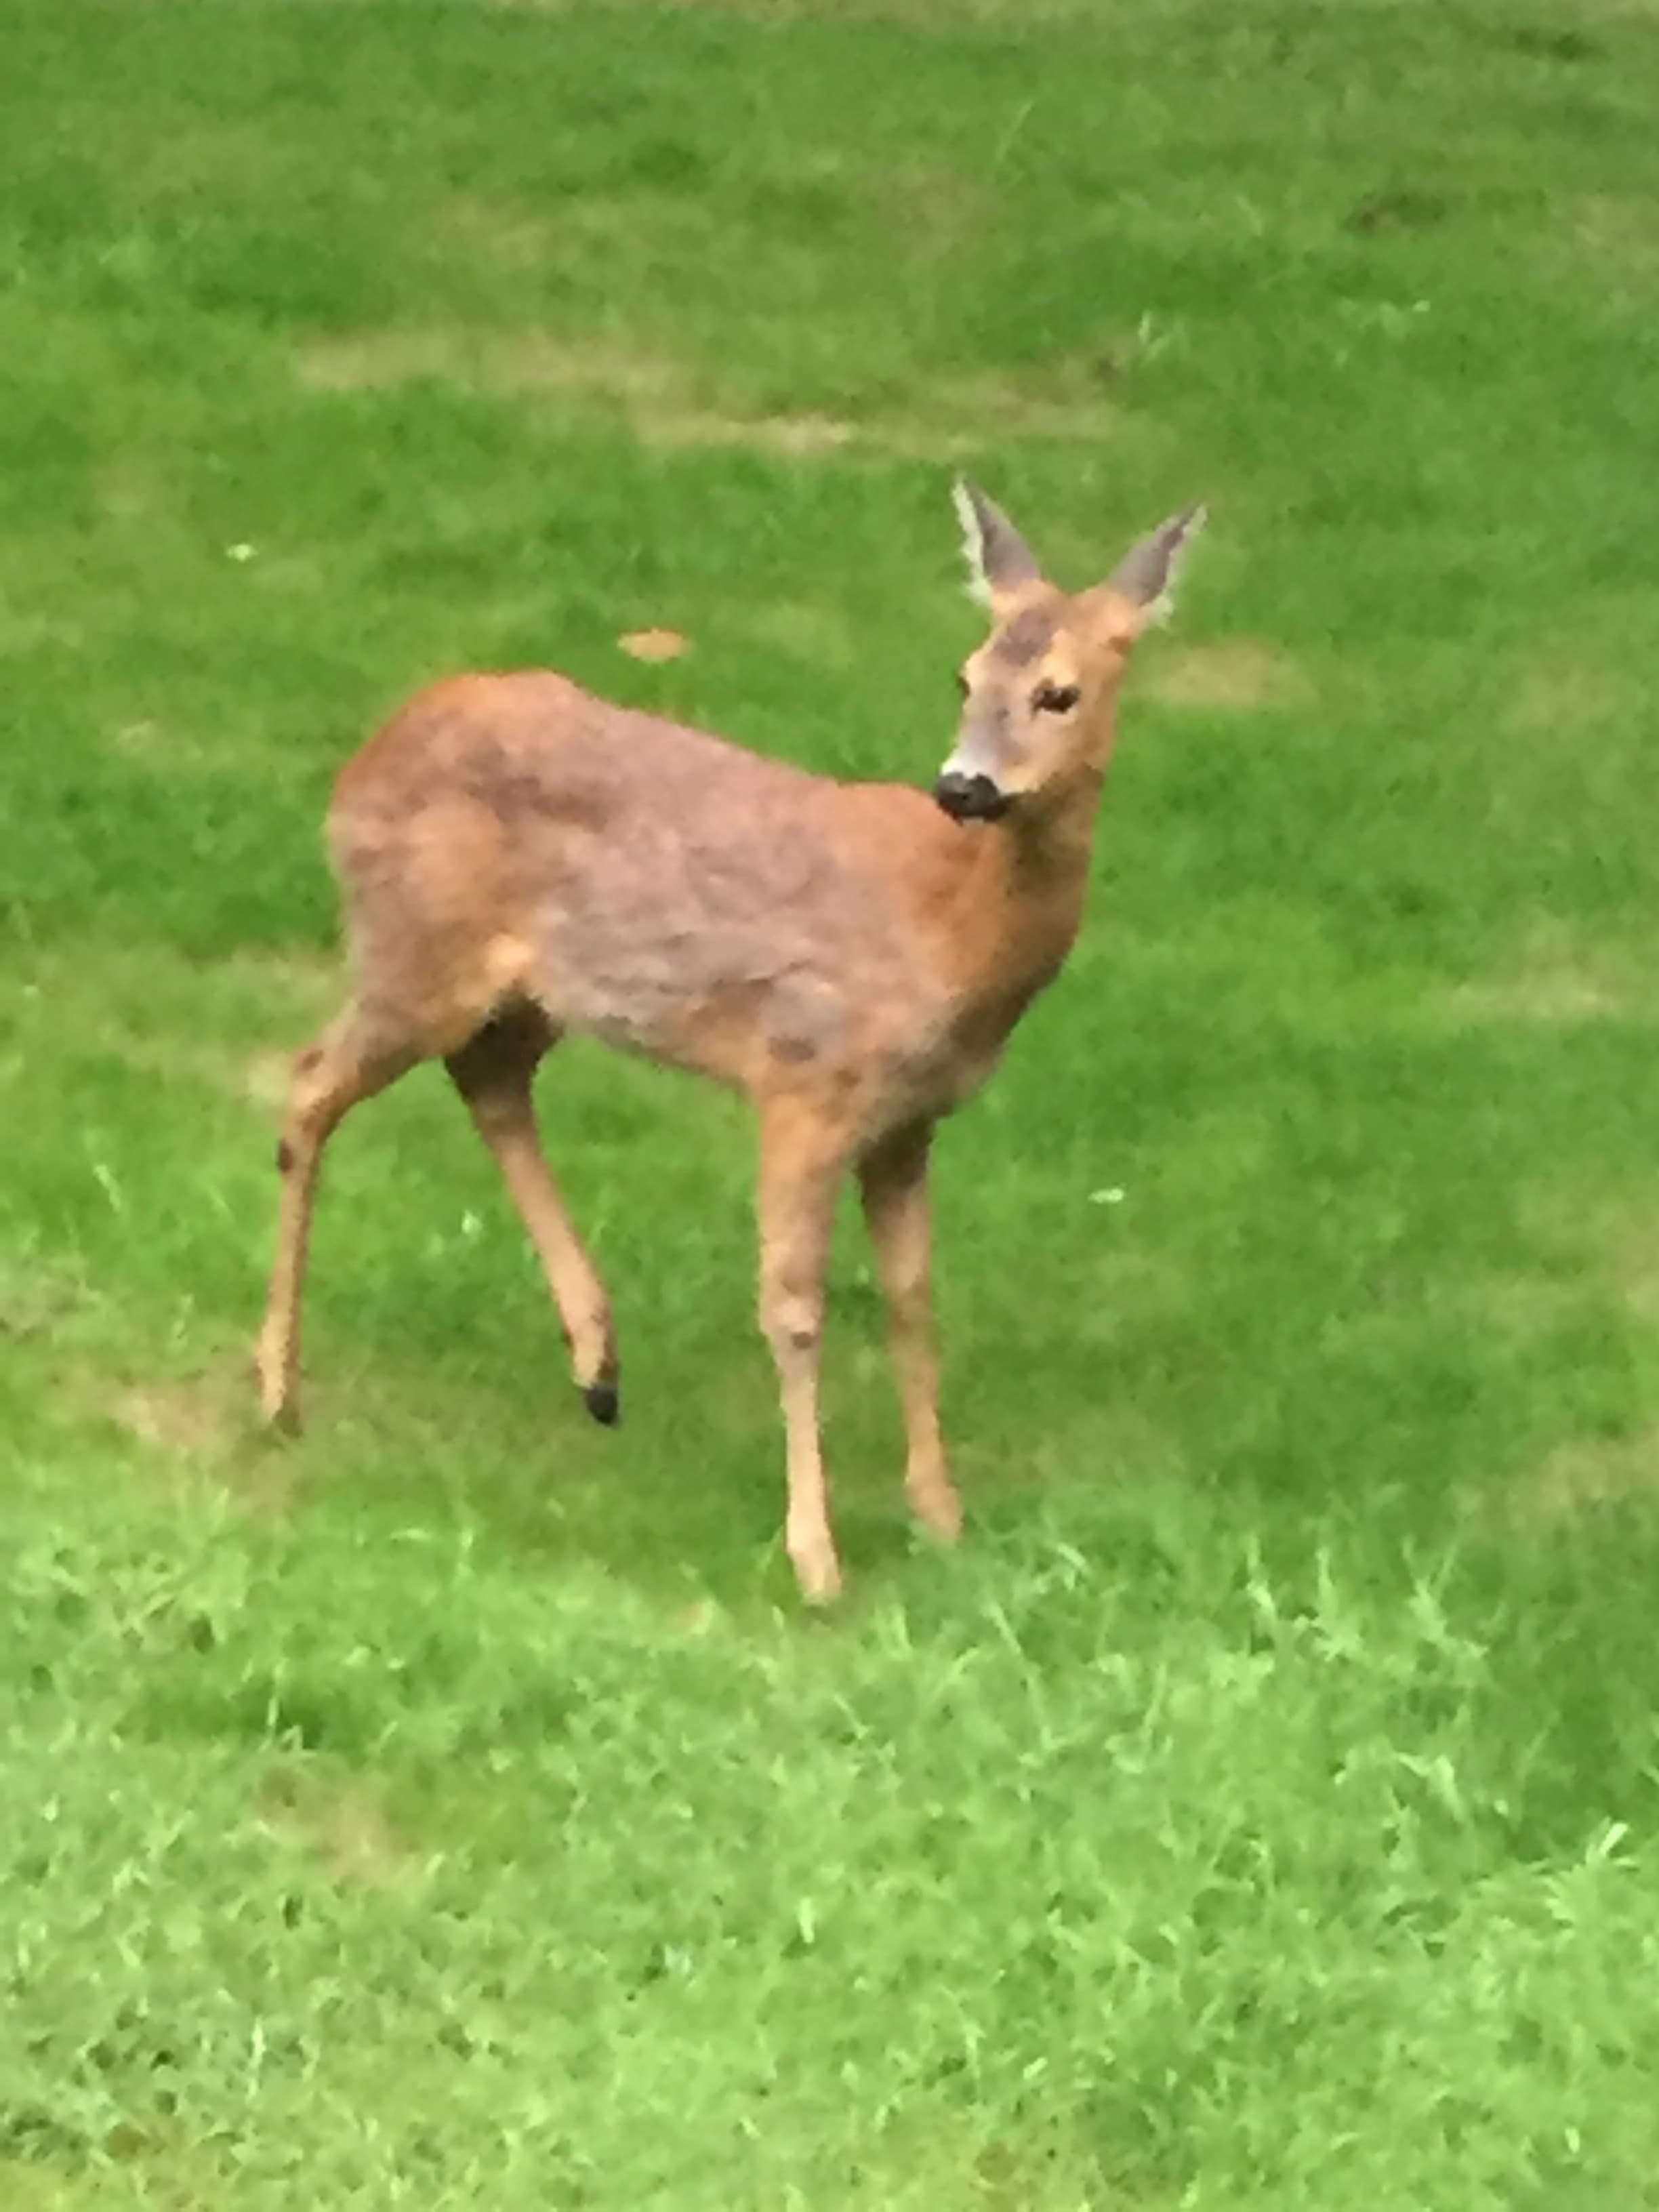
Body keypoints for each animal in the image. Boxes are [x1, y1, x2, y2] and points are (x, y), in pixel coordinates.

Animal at [253, 484, 1203, 1601]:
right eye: (966, 675)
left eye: (1059, 693)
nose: (963, 787)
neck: (950, 927)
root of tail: (364, 757)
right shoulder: (804, 1075)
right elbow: (793, 1307)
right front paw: (817, 1559)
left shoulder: (909, 1121)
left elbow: (914, 1297)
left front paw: (941, 1514)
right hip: (414, 952)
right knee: (308, 1087)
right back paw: (279, 1395)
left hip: (518, 994)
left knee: (486, 1079)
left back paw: (597, 1366)